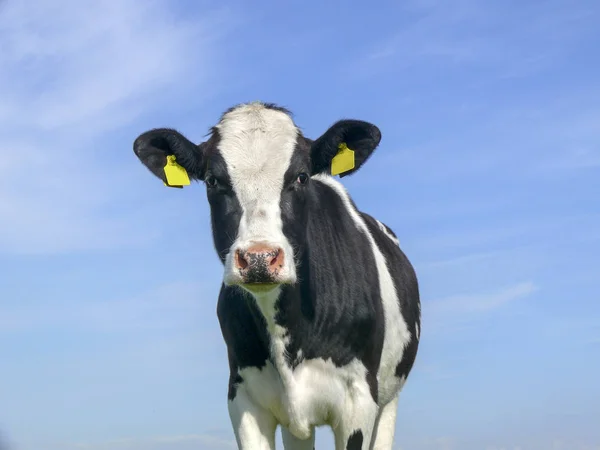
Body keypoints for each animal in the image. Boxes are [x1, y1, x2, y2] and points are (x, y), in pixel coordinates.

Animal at [132, 102, 422, 450]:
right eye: (213, 180)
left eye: (301, 176)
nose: (259, 257)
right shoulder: (243, 396)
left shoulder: (359, 400)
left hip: (389, 400)